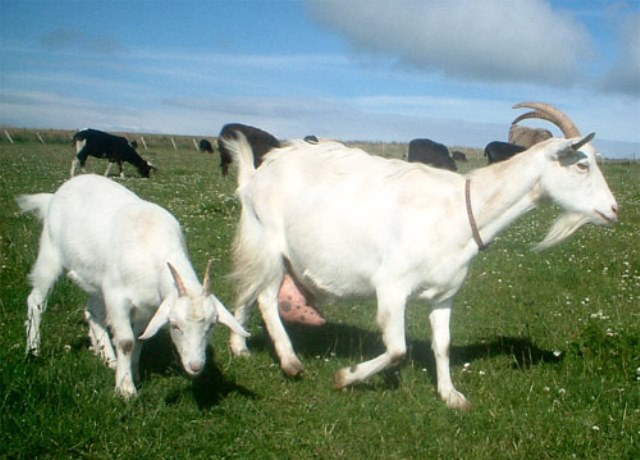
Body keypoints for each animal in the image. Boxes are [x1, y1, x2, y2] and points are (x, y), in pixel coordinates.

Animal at [17, 174, 248, 398]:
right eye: (175, 326)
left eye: (211, 326)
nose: (196, 366)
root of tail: (54, 195)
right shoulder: (117, 296)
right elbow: (127, 341)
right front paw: (126, 389)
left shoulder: (149, 307)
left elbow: (139, 338)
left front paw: (133, 373)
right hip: (50, 254)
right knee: (36, 302)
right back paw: (34, 350)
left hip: (97, 281)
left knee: (92, 312)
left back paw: (107, 357)